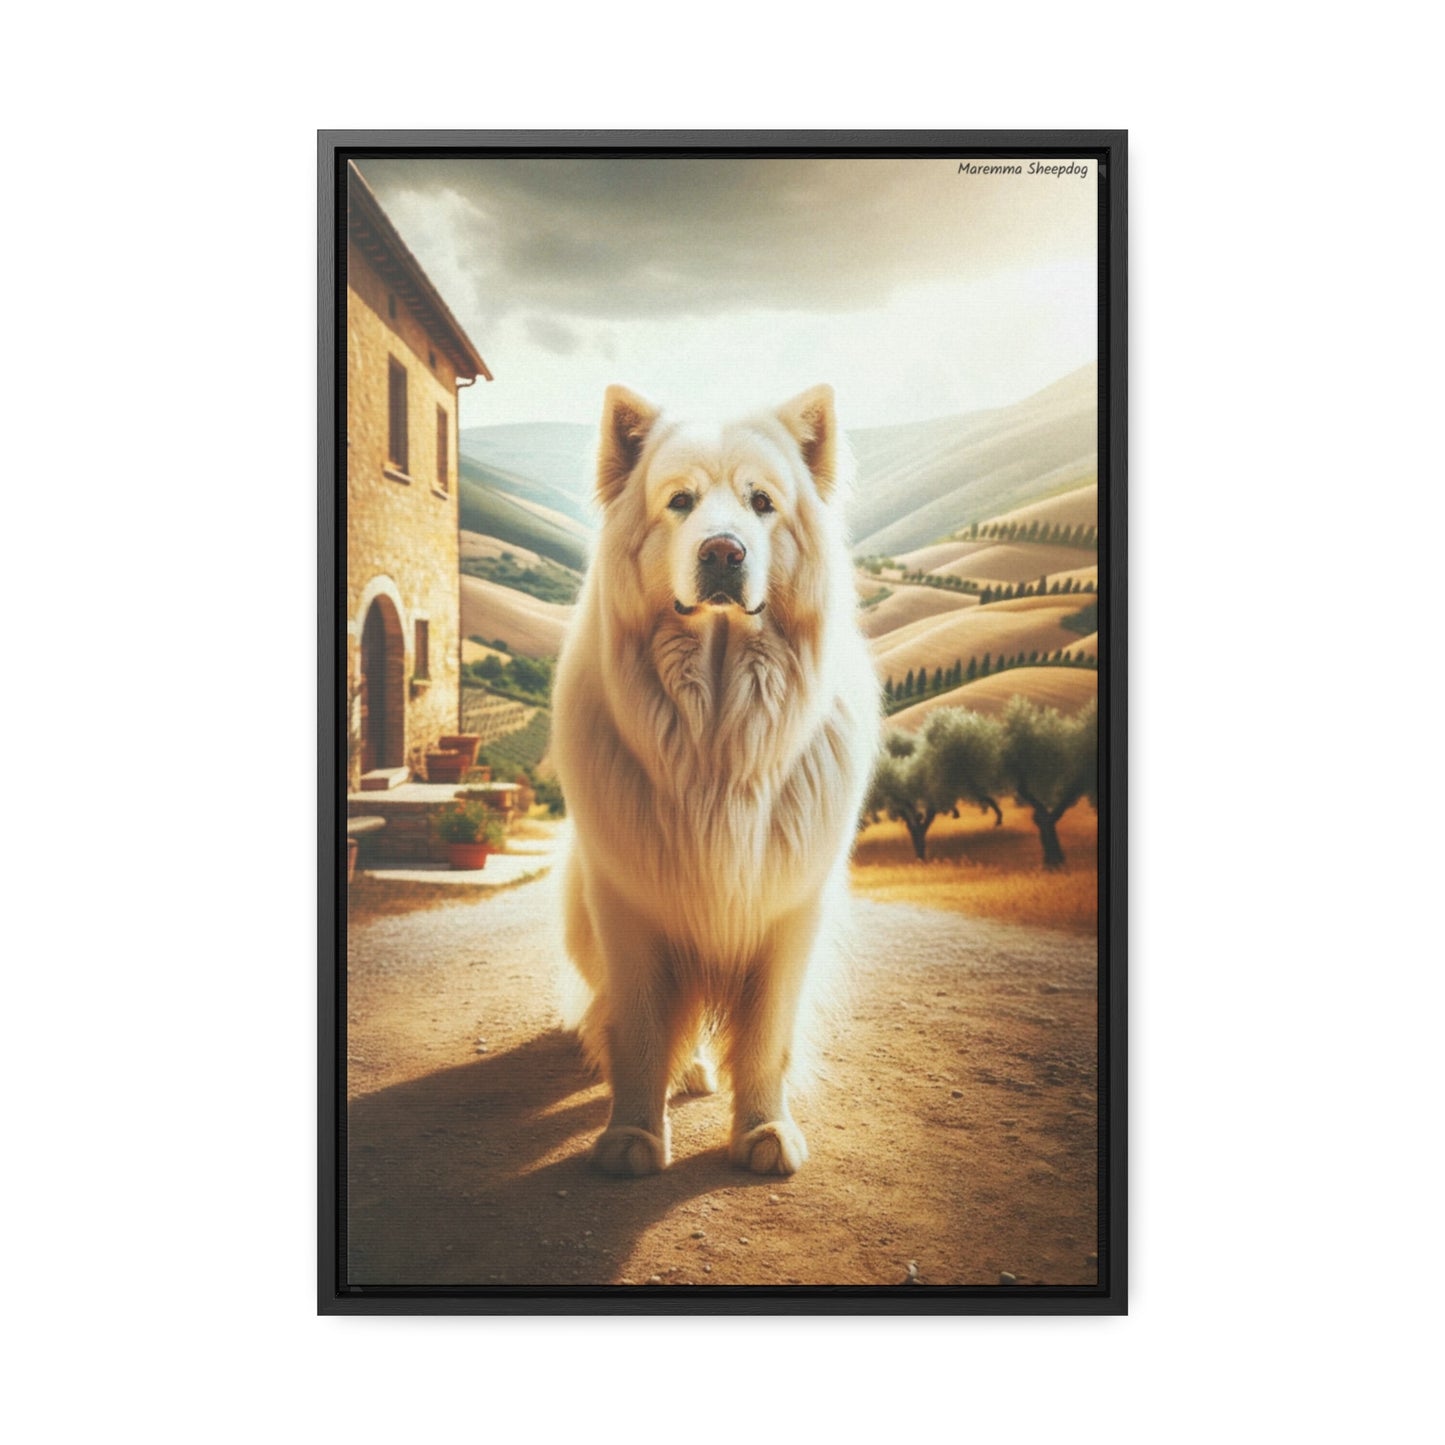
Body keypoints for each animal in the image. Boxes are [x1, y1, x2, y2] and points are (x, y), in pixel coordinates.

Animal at [546, 384, 872, 1173]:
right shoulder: (629, 905)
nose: (723, 551)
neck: (718, 741)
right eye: (680, 501)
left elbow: (767, 1036)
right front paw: (632, 1134)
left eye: (761, 502)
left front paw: (763, 1129)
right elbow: (638, 1029)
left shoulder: (789, 908)